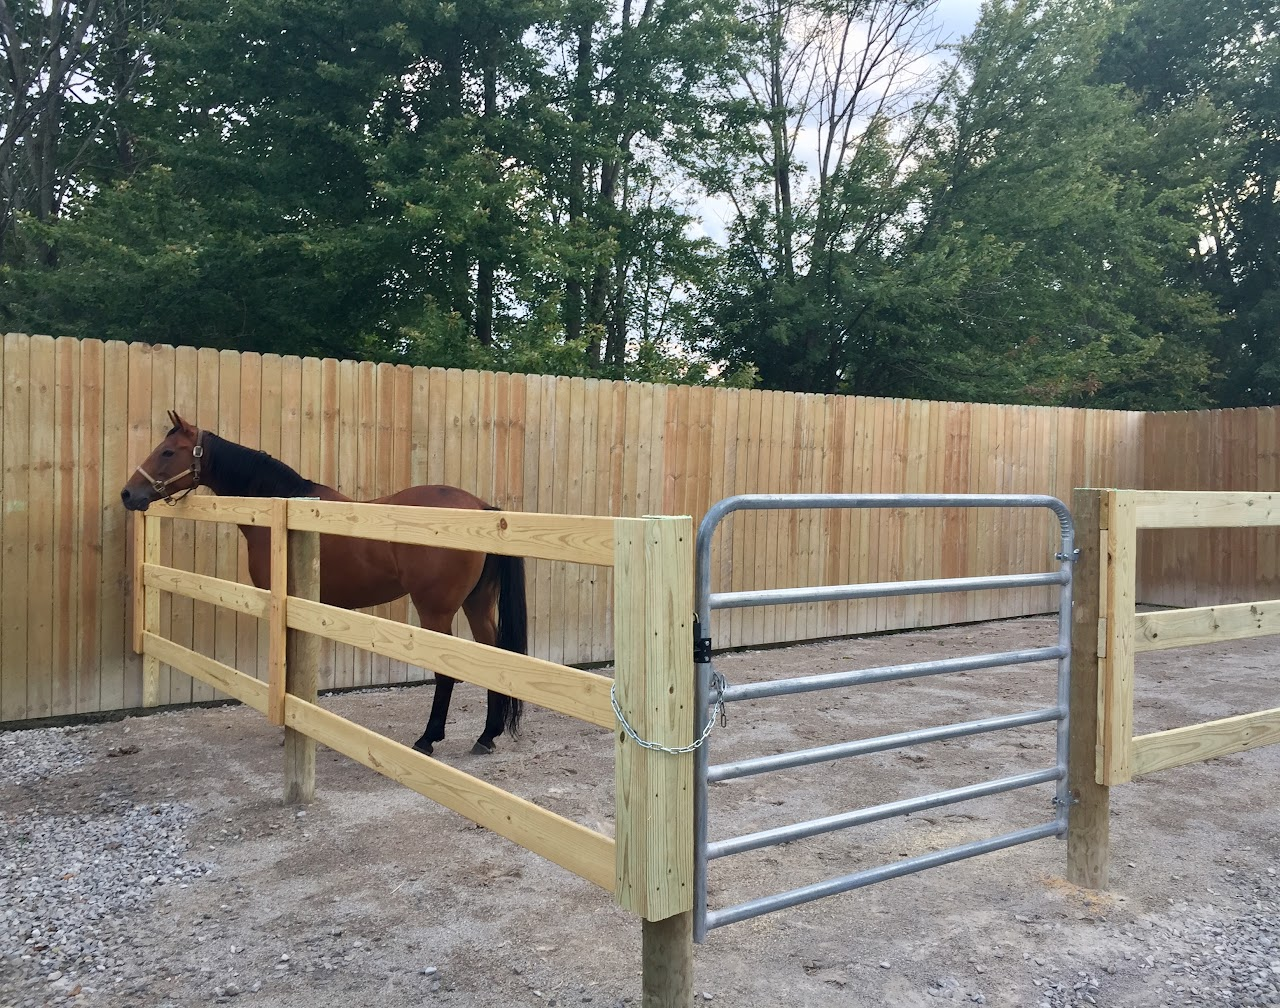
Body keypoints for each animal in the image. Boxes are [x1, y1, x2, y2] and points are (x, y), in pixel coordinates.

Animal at [120, 411, 528, 756]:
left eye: (167, 451)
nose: (128, 494)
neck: (285, 508)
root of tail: (481, 508)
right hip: (477, 604)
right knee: (493, 660)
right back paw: (486, 736)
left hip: (437, 611)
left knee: (447, 673)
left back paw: (427, 739)